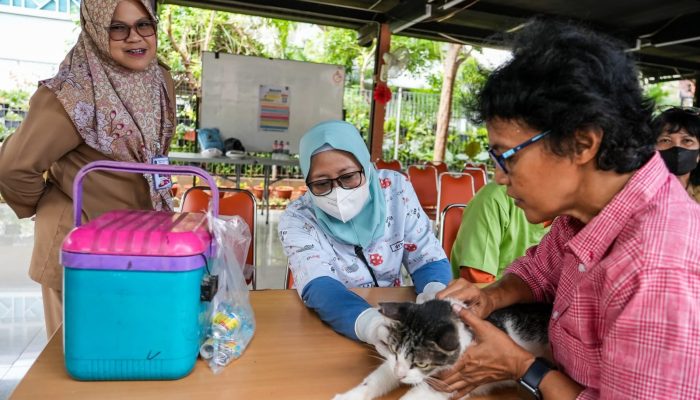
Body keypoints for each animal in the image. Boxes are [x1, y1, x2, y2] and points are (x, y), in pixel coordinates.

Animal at [334, 300, 552, 400]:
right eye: (394, 350)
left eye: (422, 363)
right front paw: (347, 397)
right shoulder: (393, 364)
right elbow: (377, 378)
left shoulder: (452, 383)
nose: (400, 375)